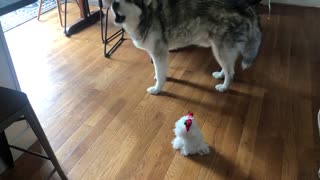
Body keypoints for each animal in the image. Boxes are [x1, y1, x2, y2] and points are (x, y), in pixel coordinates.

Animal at [105, 0, 262, 95]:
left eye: (129, 0)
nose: (114, 3)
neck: (147, 15)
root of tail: (246, 7)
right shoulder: (159, 53)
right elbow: (160, 70)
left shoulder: (159, 52)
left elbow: (160, 73)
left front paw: (157, 89)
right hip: (220, 50)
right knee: (228, 67)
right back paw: (220, 75)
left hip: (220, 50)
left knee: (231, 72)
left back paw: (224, 87)